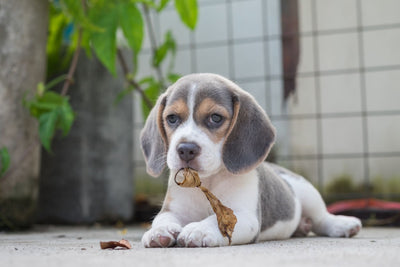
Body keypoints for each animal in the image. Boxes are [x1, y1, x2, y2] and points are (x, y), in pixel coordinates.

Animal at [141, 74, 362, 249]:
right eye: (172, 118)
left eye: (215, 118)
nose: (186, 149)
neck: (209, 181)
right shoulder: (173, 209)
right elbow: (162, 218)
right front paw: (160, 231)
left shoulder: (244, 216)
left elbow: (215, 220)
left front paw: (199, 229)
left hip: (307, 192)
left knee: (321, 218)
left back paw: (342, 225)